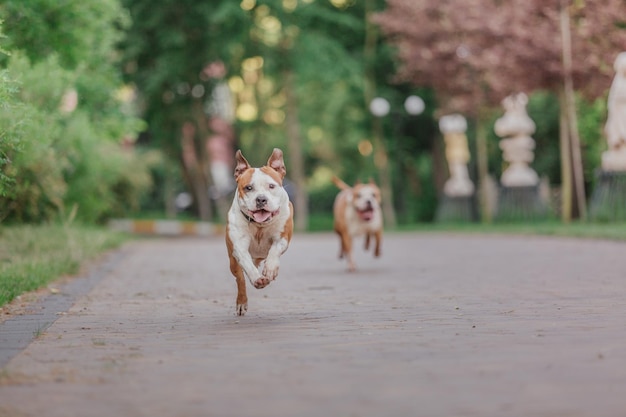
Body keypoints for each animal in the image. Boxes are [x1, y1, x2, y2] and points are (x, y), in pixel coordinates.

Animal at [224, 148, 292, 314]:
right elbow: (247, 264)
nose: (261, 199)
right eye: (248, 188)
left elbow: (274, 250)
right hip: (232, 262)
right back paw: (241, 302)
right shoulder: (239, 247)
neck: (260, 226)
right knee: (240, 278)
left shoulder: (283, 238)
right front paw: (257, 278)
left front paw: (271, 269)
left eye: (271, 186)